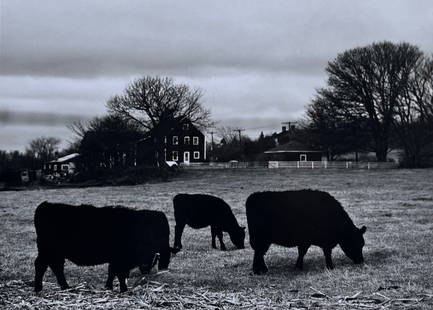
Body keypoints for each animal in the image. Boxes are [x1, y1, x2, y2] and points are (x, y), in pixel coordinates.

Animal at [32, 202, 177, 292]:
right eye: (144, 247)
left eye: (154, 253)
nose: (145, 268)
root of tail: (45, 205)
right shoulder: (120, 259)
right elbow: (120, 274)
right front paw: (123, 289)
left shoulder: (115, 259)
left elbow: (112, 272)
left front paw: (108, 287)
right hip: (48, 251)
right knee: (42, 266)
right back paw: (39, 288)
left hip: (55, 254)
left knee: (55, 267)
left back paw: (65, 287)